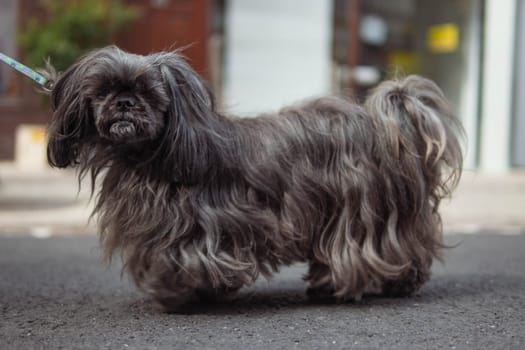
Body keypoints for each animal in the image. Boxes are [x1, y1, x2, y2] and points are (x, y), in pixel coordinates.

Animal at [46, 46, 462, 312]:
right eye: (103, 91)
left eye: (148, 91)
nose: (125, 102)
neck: (148, 156)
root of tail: (391, 126)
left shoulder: (206, 227)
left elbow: (183, 259)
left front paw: (175, 292)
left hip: (364, 215)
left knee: (379, 248)